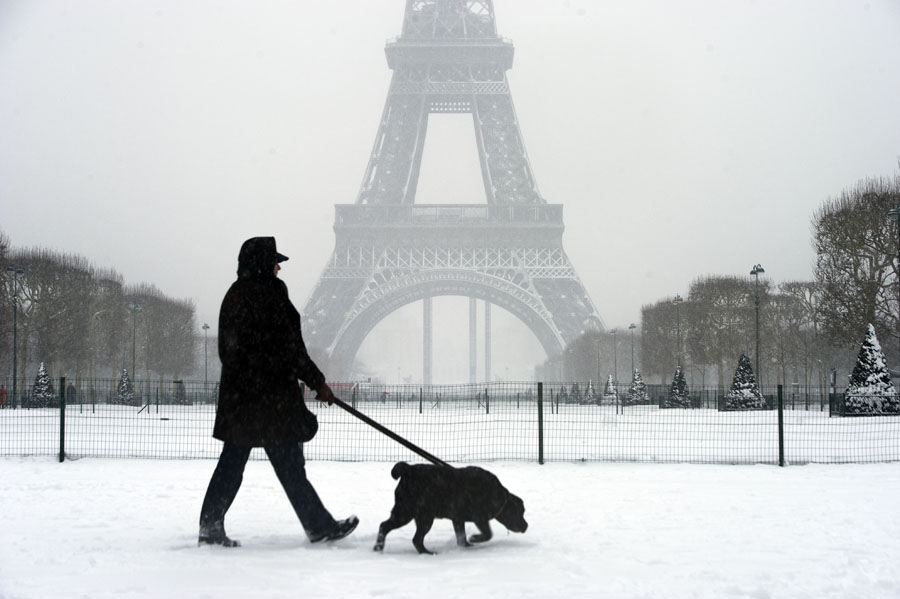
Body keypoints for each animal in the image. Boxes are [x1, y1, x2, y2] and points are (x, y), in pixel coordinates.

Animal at [372, 462, 528, 556]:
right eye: (520, 512)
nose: (526, 526)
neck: (497, 495)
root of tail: (408, 469)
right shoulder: (479, 517)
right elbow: (488, 534)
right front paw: (475, 538)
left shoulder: (458, 519)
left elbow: (461, 537)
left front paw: (465, 546)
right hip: (412, 514)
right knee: (409, 536)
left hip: (414, 515)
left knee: (397, 531)